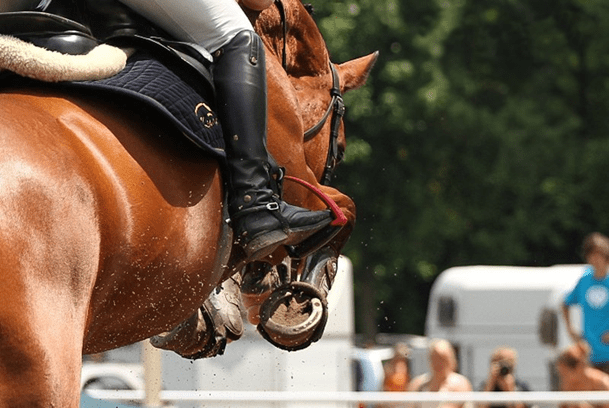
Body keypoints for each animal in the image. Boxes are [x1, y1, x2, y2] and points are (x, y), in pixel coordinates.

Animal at [0, 0, 376, 404]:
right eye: (340, 150)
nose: (275, 286)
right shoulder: (296, 184)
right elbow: (344, 209)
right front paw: (305, 299)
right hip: (43, 368)